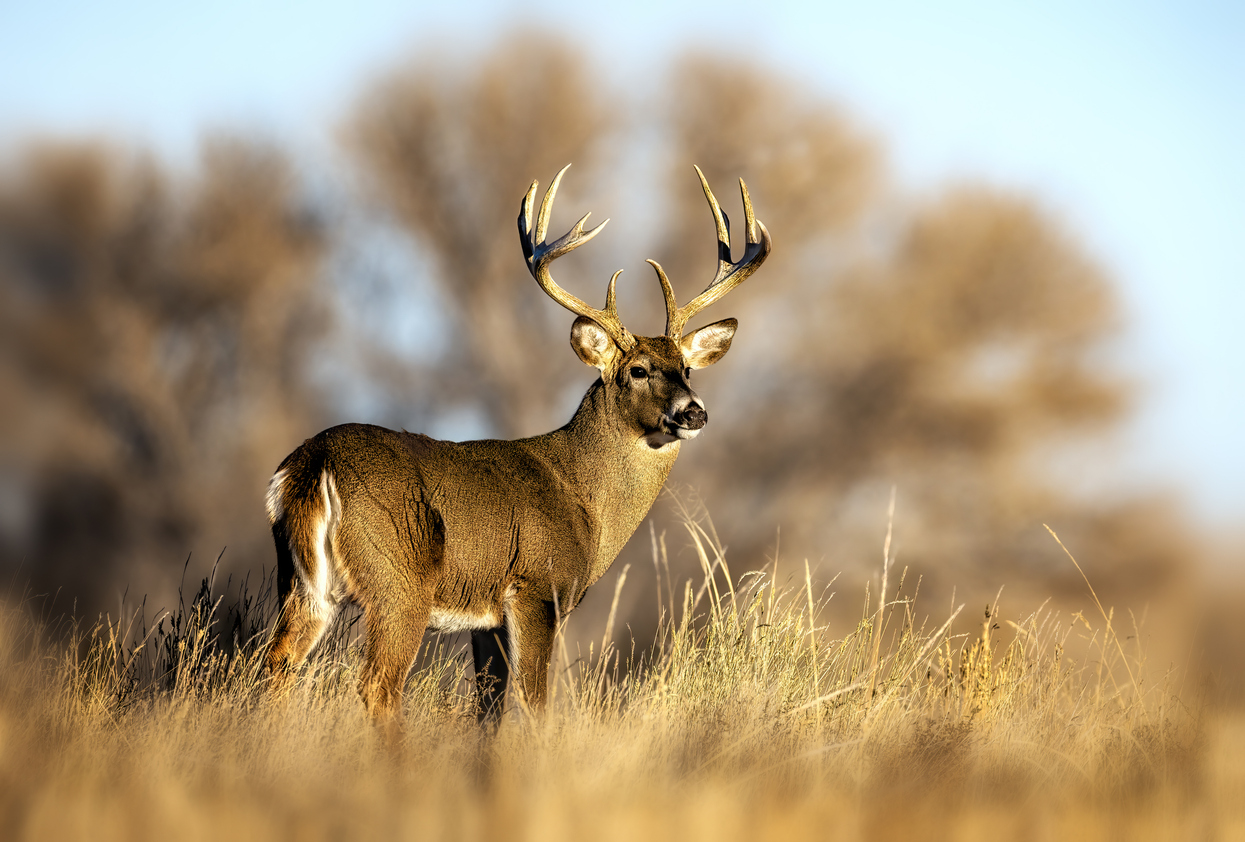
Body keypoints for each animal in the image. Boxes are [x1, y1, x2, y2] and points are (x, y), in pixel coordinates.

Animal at [264, 164, 770, 724]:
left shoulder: (486, 620)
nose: (694, 411)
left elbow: (488, 709)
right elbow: (534, 704)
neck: (584, 500)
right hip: (399, 581)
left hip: (303, 583)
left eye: (686, 369)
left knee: (275, 666)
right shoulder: (535, 589)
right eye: (638, 370)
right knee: (377, 685)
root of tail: (314, 463)